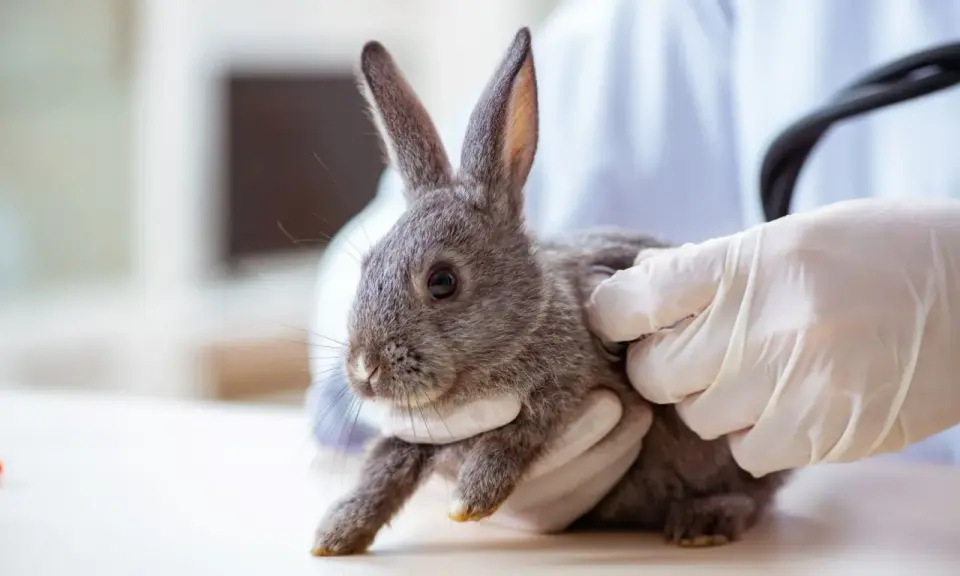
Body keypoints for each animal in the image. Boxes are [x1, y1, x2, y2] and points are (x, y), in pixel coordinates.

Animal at [311, 26, 790, 557]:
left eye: (442, 281)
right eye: (366, 264)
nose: (364, 368)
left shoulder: (568, 391)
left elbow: (518, 435)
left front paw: (471, 499)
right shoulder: (415, 434)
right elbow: (383, 467)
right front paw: (336, 534)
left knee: (755, 492)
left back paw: (705, 520)